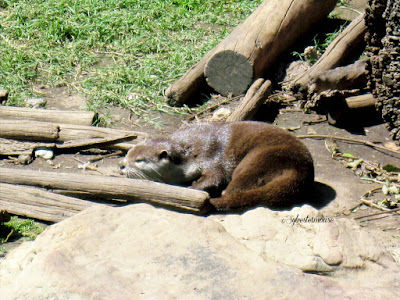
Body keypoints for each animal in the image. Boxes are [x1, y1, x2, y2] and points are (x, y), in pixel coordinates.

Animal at [120, 120, 314, 210]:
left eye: (139, 160)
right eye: (129, 153)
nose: (121, 165)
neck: (190, 151)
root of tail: (301, 169)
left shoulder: (212, 157)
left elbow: (215, 177)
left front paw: (192, 187)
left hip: (260, 160)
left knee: (232, 189)